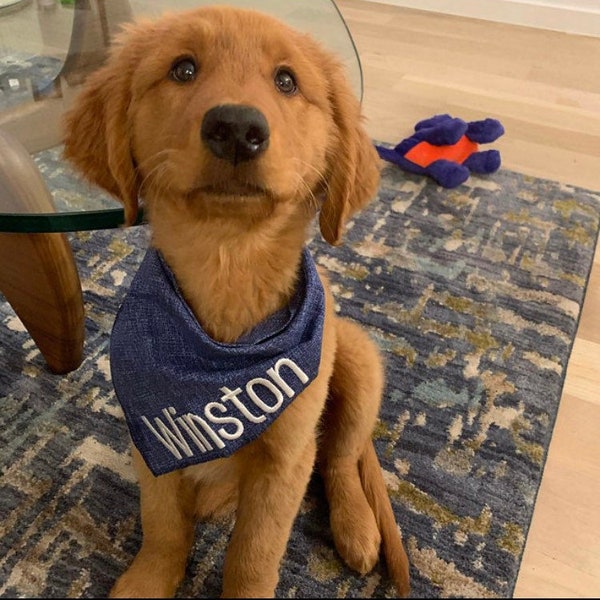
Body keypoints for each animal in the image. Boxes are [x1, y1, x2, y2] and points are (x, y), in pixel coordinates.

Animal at [64, 5, 412, 600]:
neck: (228, 264)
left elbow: (253, 555)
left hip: (358, 358)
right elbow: (162, 526)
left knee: (341, 458)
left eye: (287, 81)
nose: (236, 129)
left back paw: (357, 527)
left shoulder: (286, 460)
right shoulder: (149, 442)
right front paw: (149, 579)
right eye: (182, 69)